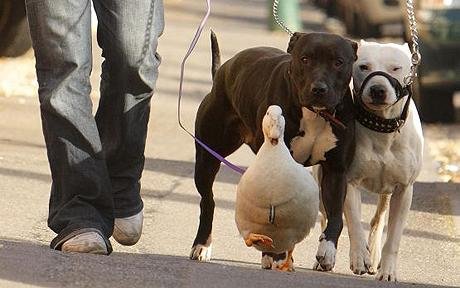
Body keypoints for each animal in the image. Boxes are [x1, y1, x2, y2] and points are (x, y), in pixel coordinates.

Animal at [190, 32, 356, 272]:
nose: (319, 88)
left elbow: (335, 217)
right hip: (207, 157)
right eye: (305, 59)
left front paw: (327, 252)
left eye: (338, 62)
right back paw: (202, 245)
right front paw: (275, 255)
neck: (314, 114)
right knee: (208, 200)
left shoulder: (336, 172)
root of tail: (222, 71)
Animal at [344, 41, 422, 282]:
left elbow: (394, 236)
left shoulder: (404, 190)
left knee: (378, 219)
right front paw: (359, 257)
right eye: (363, 67)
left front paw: (388, 270)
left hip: (387, 191)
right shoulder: (348, 181)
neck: (382, 126)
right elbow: (354, 223)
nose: (378, 89)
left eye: (396, 68)